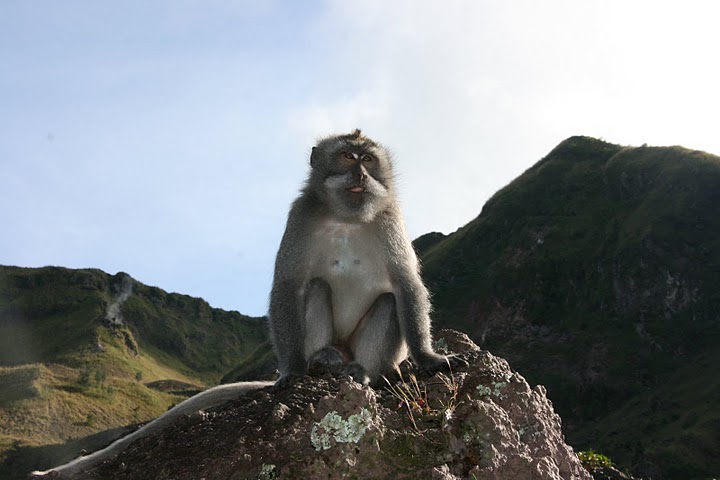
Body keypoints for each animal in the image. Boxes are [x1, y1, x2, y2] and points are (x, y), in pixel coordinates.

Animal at [270, 128, 456, 386]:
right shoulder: (301, 214)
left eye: (368, 159)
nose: (361, 175)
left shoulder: (390, 218)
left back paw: (363, 371)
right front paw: (293, 369)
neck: (347, 218)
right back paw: (321, 357)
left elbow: (406, 284)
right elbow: (288, 285)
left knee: (390, 301)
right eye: (347, 156)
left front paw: (427, 357)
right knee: (317, 286)